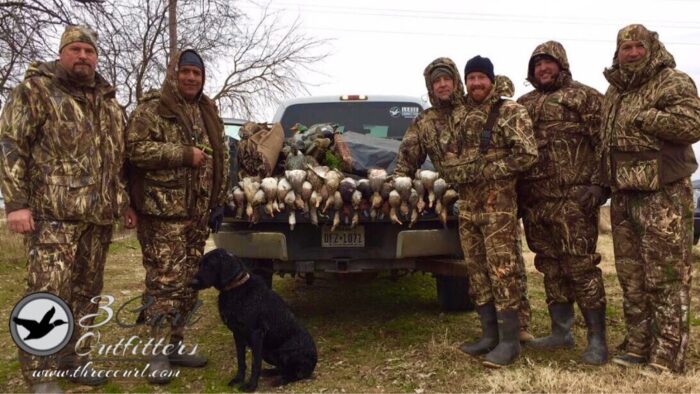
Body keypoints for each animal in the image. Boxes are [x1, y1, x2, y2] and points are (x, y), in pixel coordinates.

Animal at [189, 249, 314, 390]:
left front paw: (251, 386)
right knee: (282, 368)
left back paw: (281, 380)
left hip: (285, 354)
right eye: (199, 265)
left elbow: (255, 363)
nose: (191, 283)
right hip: (267, 353)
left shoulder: (256, 334)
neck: (235, 289)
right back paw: (270, 372)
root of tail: (314, 361)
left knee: (297, 374)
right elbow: (241, 360)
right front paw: (238, 379)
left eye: (209, 265)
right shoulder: (237, 334)